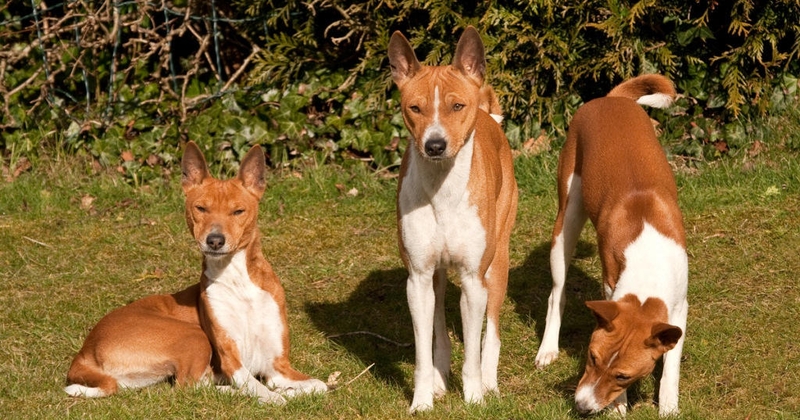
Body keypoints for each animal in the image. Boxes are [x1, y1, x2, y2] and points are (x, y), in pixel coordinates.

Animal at [65, 142, 326, 404]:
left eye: (238, 211)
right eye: (201, 208)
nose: (215, 240)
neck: (239, 283)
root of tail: (85, 351)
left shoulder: (277, 366)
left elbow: (320, 386)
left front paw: (290, 391)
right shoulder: (232, 361)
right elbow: (259, 389)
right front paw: (274, 396)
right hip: (193, 335)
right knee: (189, 387)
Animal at [388, 27, 520, 414]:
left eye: (457, 106)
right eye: (414, 108)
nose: (435, 145)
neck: (442, 192)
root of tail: (489, 117)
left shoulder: (474, 279)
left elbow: (473, 352)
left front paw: (474, 397)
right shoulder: (418, 279)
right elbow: (422, 351)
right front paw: (421, 400)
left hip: (497, 263)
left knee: (492, 334)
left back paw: (490, 384)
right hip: (437, 276)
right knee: (440, 330)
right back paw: (439, 379)